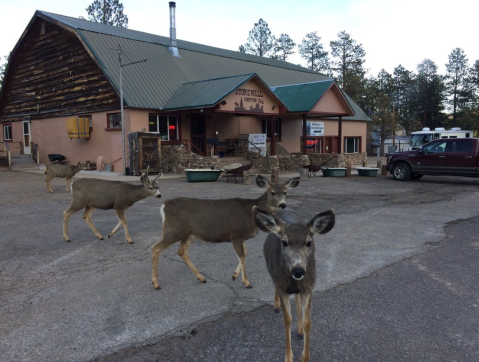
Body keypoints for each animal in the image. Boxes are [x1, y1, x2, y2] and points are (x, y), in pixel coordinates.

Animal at [152, 174, 300, 290]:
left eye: (285, 192)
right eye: (273, 192)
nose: (283, 205)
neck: (251, 213)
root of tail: (163, 206)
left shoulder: (241, 236)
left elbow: (245, 253)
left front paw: (234, 276)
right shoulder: (236, 234)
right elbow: (242, 256)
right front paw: (246, 282)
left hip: (189, 234)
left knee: (181, 252)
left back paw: (201, 278)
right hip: (173, 231)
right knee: (156, 248)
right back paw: (156, 283)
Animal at [253, 206, 336, 362]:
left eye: (309, 242)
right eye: (284, 242)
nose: (298, 270)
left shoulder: (308, 286)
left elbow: (307, 321)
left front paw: (305, 356)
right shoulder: (282, 286)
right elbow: (287, 320)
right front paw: (288, 356)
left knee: (297, 300)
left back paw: (299, 331)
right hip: (272, 272)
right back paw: (276, 306)